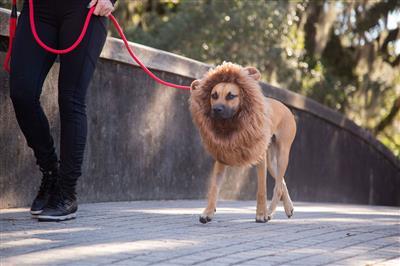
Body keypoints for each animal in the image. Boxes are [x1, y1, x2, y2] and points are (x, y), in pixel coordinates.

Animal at [189, 62, 296, 222]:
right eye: (214, 95)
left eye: (231, 96)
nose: (216, 110)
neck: (232, 124)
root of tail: (285, 107)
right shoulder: (221, 158)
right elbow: (214, 188)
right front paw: (208, 212)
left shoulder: (260, 159)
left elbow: (261, 190)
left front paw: (261, 214)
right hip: (271, 161)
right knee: (281, 181)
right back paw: (288, 208)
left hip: (282, 154)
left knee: (277, 187)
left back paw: (269, 212)